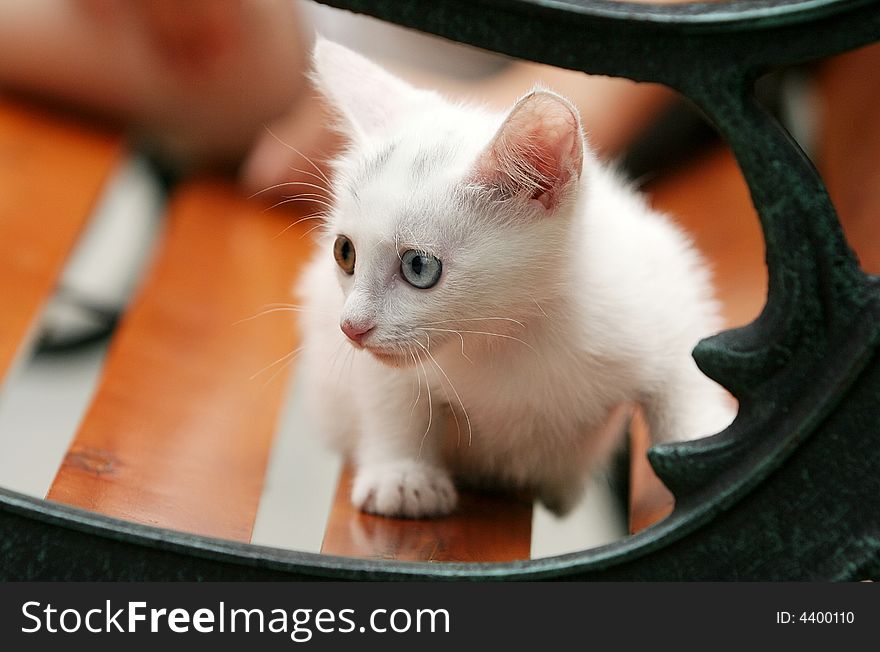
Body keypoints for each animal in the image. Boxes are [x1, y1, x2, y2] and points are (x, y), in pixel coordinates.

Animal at [296, 40, 736, 520]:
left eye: (419, 267)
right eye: (345, 252)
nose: (352, 327)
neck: (509, 333)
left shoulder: (664, 287)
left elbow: (682, 383)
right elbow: (392, 396)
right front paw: (402, 476)